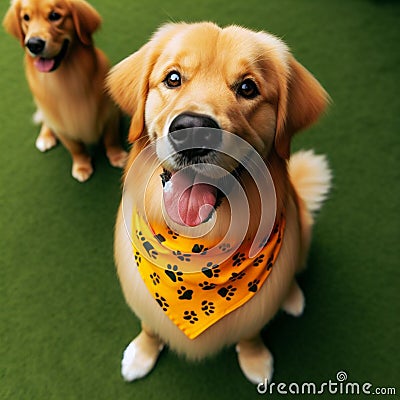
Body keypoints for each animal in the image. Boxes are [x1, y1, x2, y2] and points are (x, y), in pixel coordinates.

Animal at [2, 0, 126, 181]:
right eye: (26, 18)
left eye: (54, 16)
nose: (33, 44)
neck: (66, 79)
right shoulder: (62, 124)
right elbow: (76, 148)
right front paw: (81, 166)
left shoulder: (109, 114)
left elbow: (111, 138)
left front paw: (117, 156)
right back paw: (45, 137)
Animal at [107, 22, 332, 384]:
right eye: (173, 78)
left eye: (247, 87)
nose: (192, 129)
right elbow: (150, 325)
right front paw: (143, 352)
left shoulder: (255, 313)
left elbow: (251, 333)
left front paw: (255, 360)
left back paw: (293, 296)